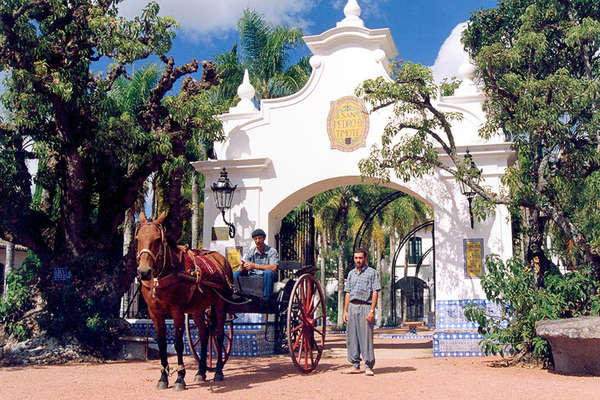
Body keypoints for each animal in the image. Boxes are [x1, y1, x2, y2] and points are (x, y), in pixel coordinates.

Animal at [136, 211, 232, 390]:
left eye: (157, 239)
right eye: (137, 238)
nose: (144, 272)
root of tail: (221, 259)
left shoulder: (177, 311)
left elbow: (178, 343)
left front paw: (180, 378)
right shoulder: (155, 313)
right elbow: (161, 343)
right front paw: (163, 378)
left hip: (220, 305)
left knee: (219, 335)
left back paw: (218, 372)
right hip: (198, 308)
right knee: (205, 334)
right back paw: (201, 372)